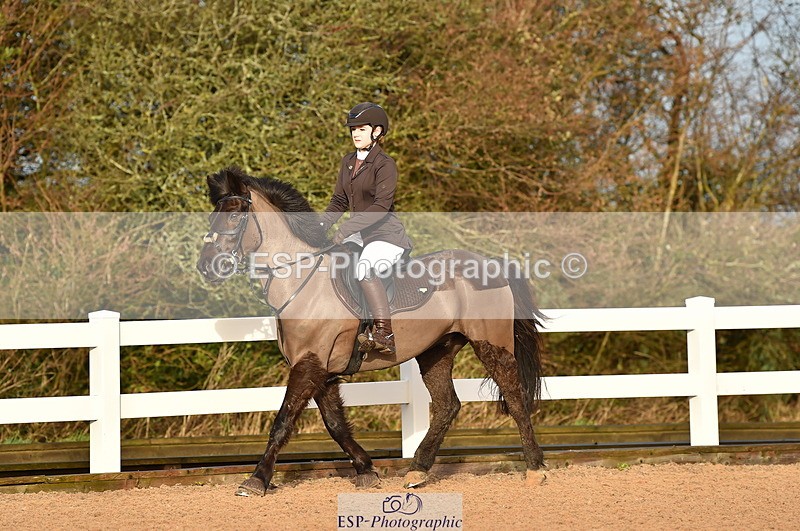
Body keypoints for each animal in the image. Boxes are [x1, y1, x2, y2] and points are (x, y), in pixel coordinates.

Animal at [196, 166, 547, 496]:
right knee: (448, 405)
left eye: (235, 216)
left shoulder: (308, 364)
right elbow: (335, 424)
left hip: (491, 342)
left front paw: (256, 479)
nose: (208, 267)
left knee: (514, 397)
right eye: (213, 217)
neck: (300, 278)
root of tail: (491, 264)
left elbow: (284, 420)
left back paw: (534, 469)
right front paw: (366, 470)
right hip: (436, 350)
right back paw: (418, 470)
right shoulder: (321, 369)